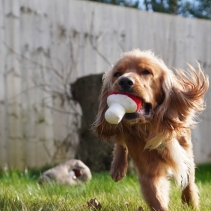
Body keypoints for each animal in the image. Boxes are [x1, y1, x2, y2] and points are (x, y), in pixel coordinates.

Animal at [92, 49, 209, 211]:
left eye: (146, 72)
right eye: (117, 73)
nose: (124, 81)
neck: (151, 127)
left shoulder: (185, 151)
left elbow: (188, 181)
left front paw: (190, 203)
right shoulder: (148, 171)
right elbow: (157, 199)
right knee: (120, 141)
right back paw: (117, 168)